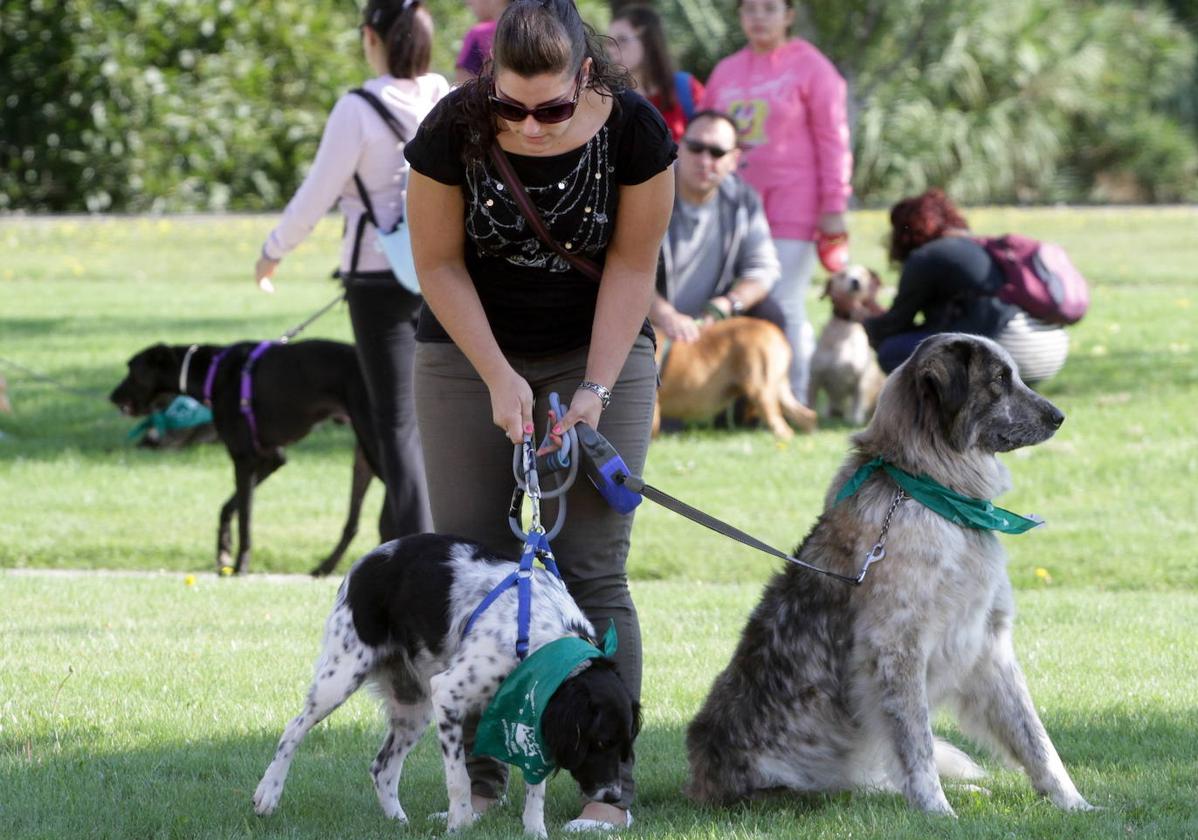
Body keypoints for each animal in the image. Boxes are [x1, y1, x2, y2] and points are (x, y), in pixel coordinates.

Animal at [109, 340, 378, 577]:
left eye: (131, 370)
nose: (111, 396)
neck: (212, 371)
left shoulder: (243, 459)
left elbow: (245, 521)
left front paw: (240, 565)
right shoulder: (270, 458)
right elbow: (229, 507)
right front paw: (223, 552)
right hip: (363, 458)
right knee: (352, 523)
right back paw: (326, 567)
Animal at [690, 333, 1092, 814]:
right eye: (999, 379)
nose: (1059, 416)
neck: (929, 489)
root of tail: (700, 778)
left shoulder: (987, 643)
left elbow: (1035, 738)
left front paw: (1074, 803)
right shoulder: (897, 647)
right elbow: (916, 743)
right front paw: (937, 811)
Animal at [805, 264, 891, 426]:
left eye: (863, 274)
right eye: (842, 274)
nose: (856, 281)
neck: (844, 334)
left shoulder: (860, 381)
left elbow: (857, 404)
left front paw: (855, 421)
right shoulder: (815, 377)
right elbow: (810, 401)